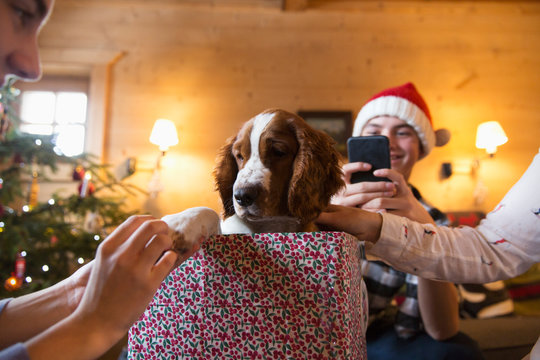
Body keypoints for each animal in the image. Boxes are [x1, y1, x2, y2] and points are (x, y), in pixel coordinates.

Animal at [162, 109, 344, 253]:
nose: (242, 196)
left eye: (278, 152)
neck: (265, 226)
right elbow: (209, 212)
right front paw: (178, 224)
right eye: (239, 155)